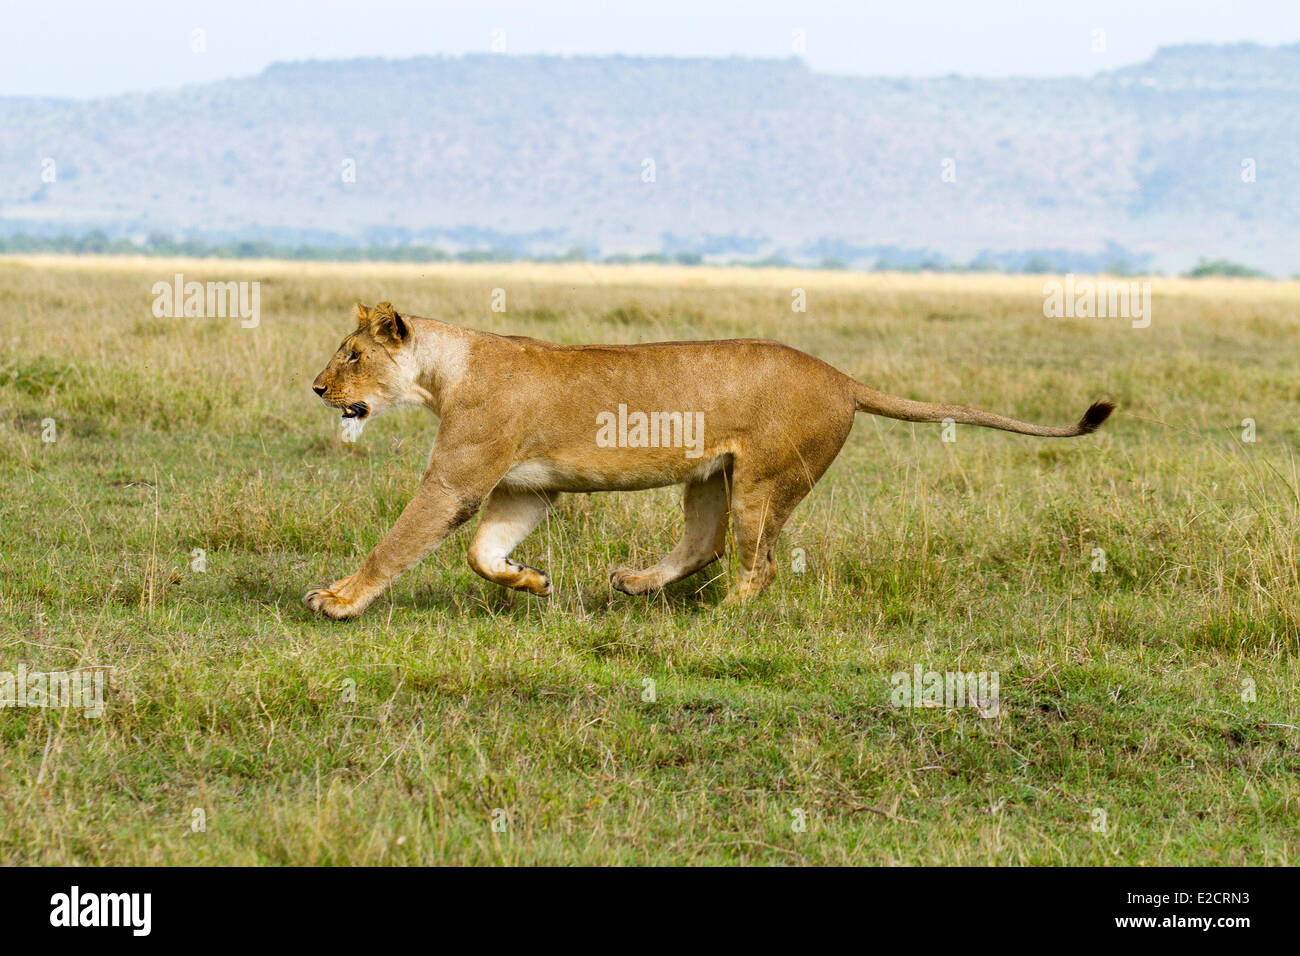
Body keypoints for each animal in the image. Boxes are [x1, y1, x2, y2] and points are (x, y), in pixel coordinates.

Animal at [305, 301, 1114, 619]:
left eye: (351, 355)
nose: (317, 387)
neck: (444, 371)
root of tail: (844, 378)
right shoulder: (524, 490)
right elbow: (483, 553)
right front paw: (531, 581)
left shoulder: (461, 477)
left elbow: (399, 541)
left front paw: (338, 600)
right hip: (710, 477)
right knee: (705, 541)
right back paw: (636, 583)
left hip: (766, 478)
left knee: (757, 561)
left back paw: (723, 616)